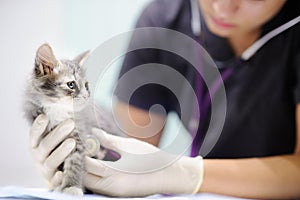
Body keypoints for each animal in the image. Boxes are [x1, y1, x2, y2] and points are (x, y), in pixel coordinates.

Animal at [23, 43, 119, 195]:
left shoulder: (78, 136)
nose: (86, 96)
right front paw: (59, 185)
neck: (57, 108)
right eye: (71, 84)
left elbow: (74, 164)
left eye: (86, 85)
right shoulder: (46, 135)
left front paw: (71, 186)